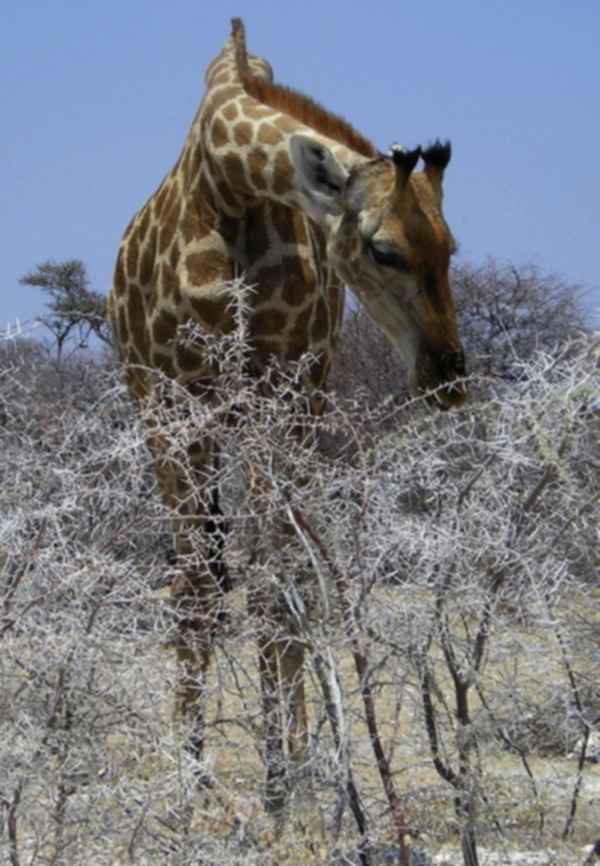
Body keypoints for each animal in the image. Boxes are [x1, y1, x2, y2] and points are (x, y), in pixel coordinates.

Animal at [108, 17, 467, 812]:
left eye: (450, 247)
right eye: (384, 250)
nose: (449, 375)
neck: (229, 185)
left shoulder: (285, 395)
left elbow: (282, 585)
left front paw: (287, 776)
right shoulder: (180, 405)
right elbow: (198, 589)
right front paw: (190, 776)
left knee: (280, 571)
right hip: (176, 413)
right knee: (207, 573)